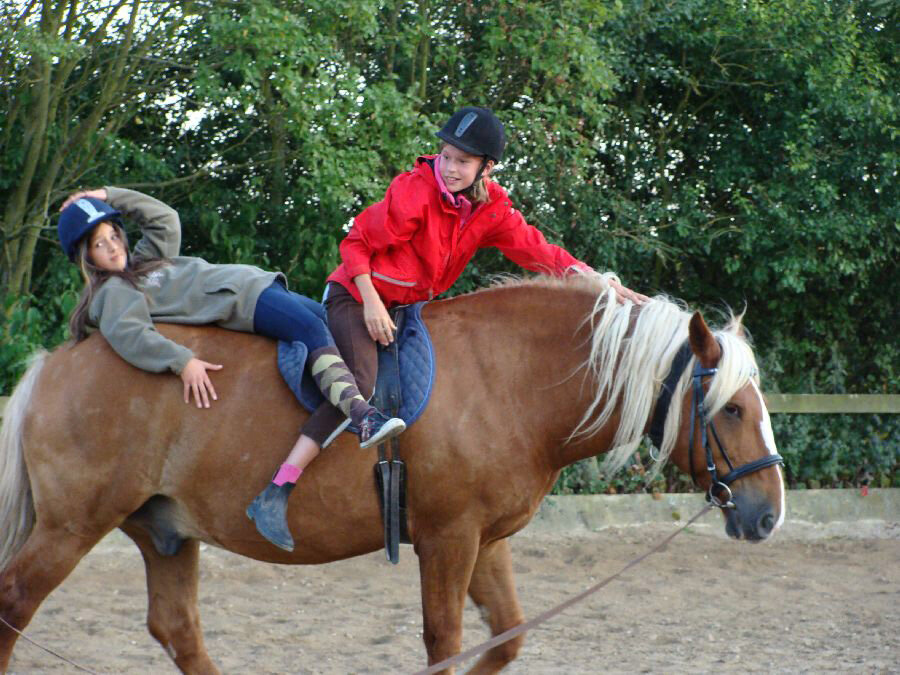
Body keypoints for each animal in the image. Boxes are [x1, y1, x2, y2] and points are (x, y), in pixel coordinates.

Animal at [0, 274, 784, 672]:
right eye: (733, 408)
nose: (769, 511)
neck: (506, 375)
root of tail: (58, 362)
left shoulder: (484, 542)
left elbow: (506, 636)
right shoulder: (447, 539)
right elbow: (446, 642)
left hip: (164, 529)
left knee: (177, 629)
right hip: (72, 526)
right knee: (15, 603)